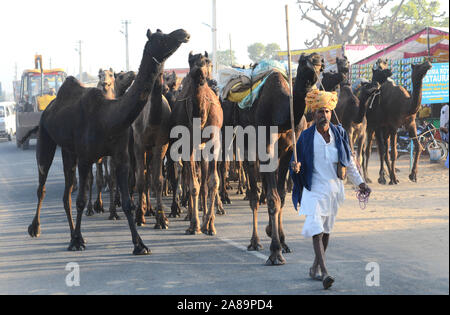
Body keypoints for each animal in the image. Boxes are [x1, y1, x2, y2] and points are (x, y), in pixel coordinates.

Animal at [26, 29, 189, 256]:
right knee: (42, 185)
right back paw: (36, 228)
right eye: (161, 37)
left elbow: (128, 202)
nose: (183, 33)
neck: (109, 118)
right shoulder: (86, 158)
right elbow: (81, 199)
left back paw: (74, 234)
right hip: (46, 138)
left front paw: (140, 244)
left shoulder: (121, 156)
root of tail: (49, 108)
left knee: (66, 193)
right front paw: (77, 242)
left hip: (68, 151)